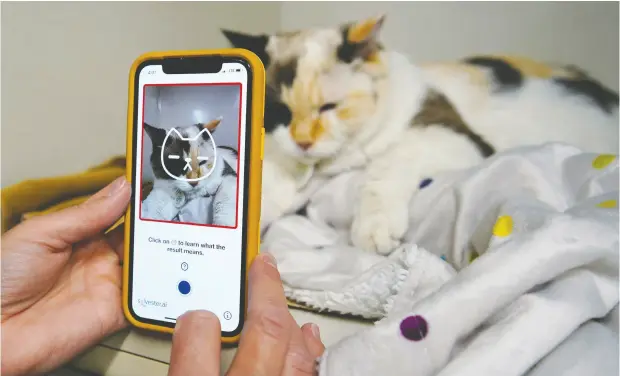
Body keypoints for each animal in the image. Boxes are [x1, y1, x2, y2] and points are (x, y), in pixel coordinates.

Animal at [220, 16, 616, 254]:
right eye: (279, 112)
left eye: (329, 107)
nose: (303, 141)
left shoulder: (454, 137)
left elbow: (389, 162)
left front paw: (374, 226)